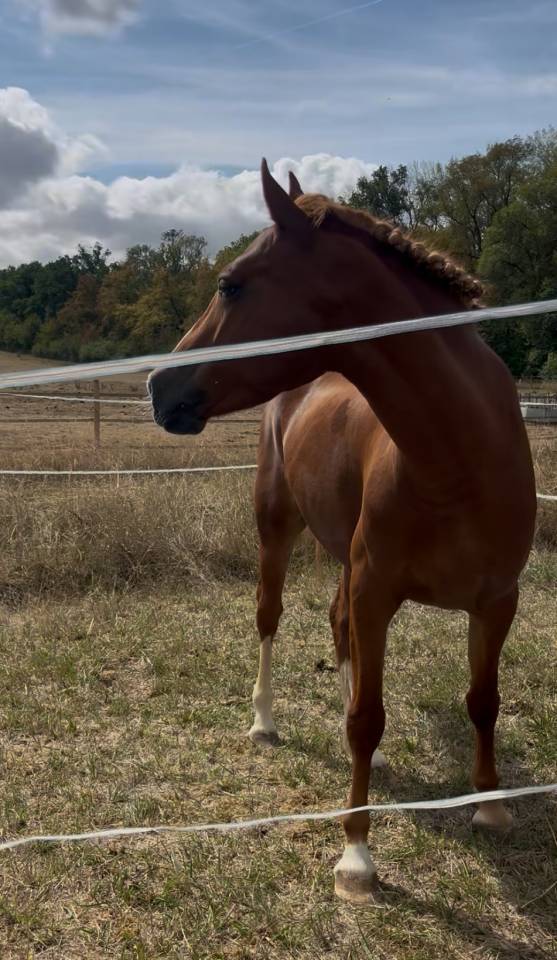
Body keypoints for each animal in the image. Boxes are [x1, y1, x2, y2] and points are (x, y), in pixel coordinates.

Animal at [148, 160, 537, 903]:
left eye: (230, 283)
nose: (157, 386)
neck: (459, 459)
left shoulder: (495, 602)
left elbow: (482, 701)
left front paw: (491, 806)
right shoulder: (375, 592)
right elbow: (366, 719)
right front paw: (356, 857)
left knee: (337, 630)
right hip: (276, 530)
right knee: (270, 618)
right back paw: (264, 721)